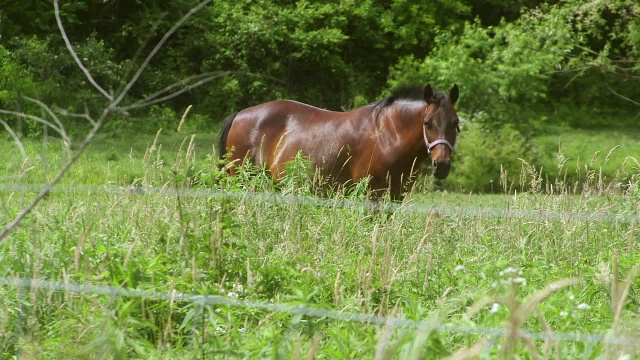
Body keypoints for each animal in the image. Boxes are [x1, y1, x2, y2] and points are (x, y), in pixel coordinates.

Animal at [219, 84, 460, 201]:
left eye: (455, 123)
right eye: (427, 123)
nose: (442, 165)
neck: (388, 135)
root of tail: (240, 115)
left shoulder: (395, 196)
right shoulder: (371, 194)